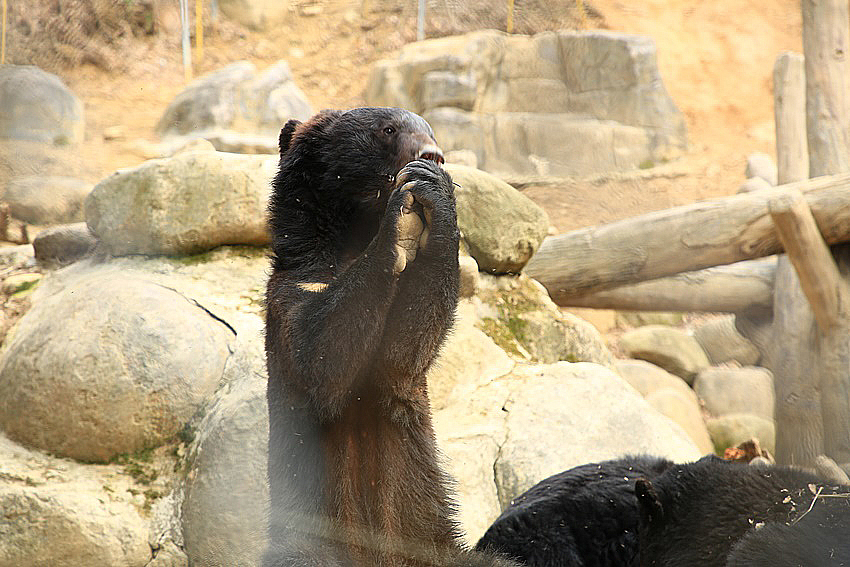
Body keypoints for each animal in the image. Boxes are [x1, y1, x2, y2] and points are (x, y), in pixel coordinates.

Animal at [264, 107, 516, 567]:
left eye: (431, 129)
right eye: (387, 129)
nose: (432, 154)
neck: (351, 238)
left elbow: (403, 353)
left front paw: (433, 196)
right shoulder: (294, 287)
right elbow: (319, 357)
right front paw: (399, 226)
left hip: (432, 538)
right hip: (310, 533)